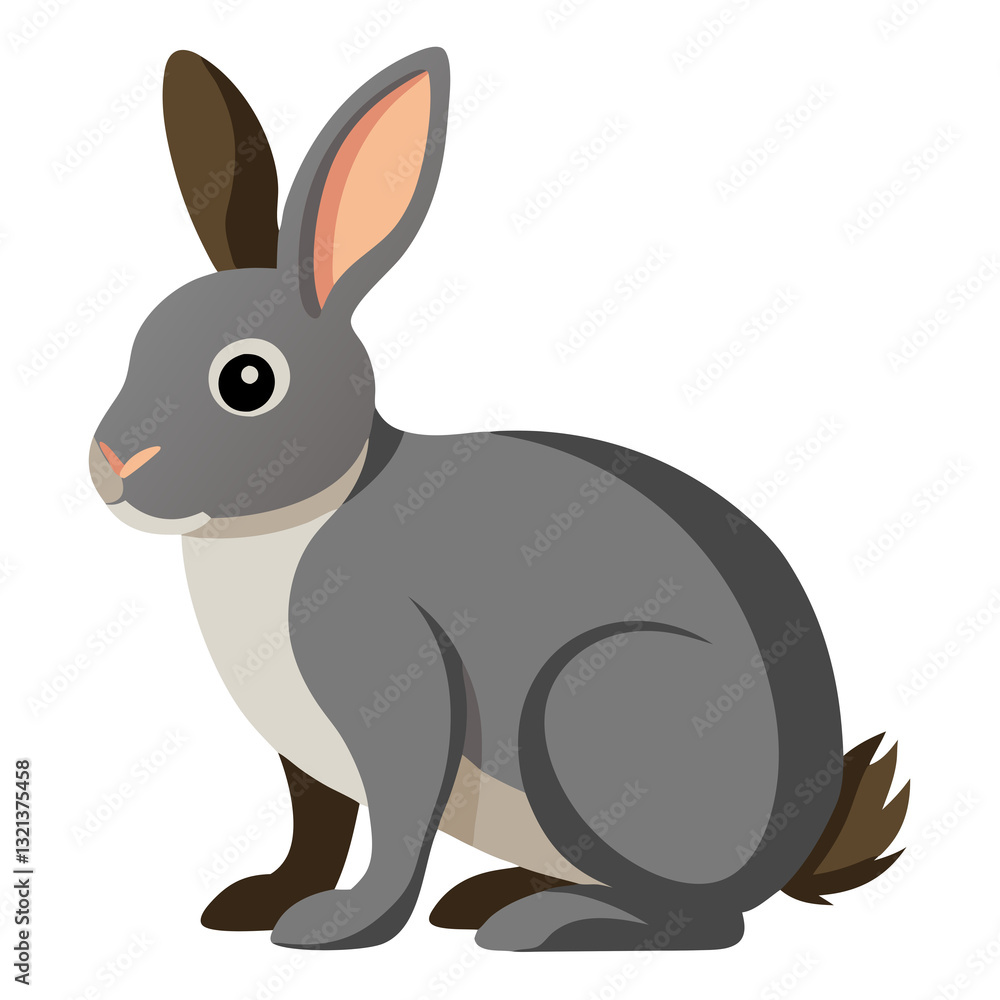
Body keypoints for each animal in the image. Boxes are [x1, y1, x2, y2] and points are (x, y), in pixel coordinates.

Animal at [89, 47, 909, 951]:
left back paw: (540, 924)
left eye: (246, 380)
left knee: (705, 919)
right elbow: (317, 827)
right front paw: (260, 903)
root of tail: (788, 850)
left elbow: (396, 821)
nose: (109, 467)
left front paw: (339, 926)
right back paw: (489, 898)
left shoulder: (395, 681)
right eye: (140, 339)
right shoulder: (306, 756)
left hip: (589, 712)